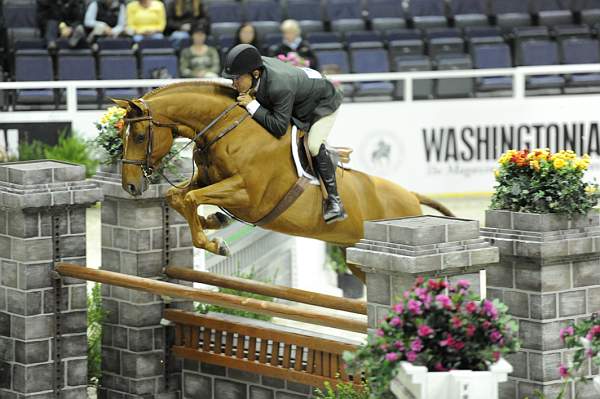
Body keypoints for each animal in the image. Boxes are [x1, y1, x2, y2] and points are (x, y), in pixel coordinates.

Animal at [113, 81, 450, 274]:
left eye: (140, 136)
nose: (130, 185)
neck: (228, 130)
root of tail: (412, 197)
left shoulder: (249, 196)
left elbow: (191, 198)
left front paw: (215, 243)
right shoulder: (208, 179)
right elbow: (178, 196)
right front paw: (215, 223)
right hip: (355, 257)